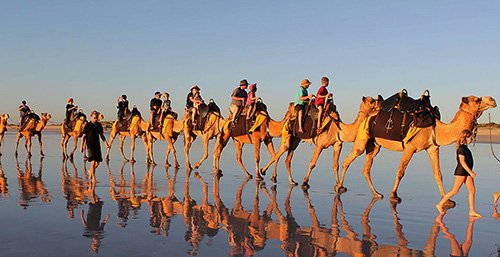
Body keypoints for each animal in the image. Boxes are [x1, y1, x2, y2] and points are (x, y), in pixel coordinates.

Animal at [338, 94, 498, 202]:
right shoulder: (410, 147)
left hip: (375, 145)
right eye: (477, 99)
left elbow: (438, 174)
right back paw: (339, 187)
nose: (492, 99)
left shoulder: (433, 148)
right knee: (348, 160)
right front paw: (394, 195)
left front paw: (446, 199)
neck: (436, 127)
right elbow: (400, 171)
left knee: (366, 168)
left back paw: (376, 193)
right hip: (362, 138)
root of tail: (366, 116)